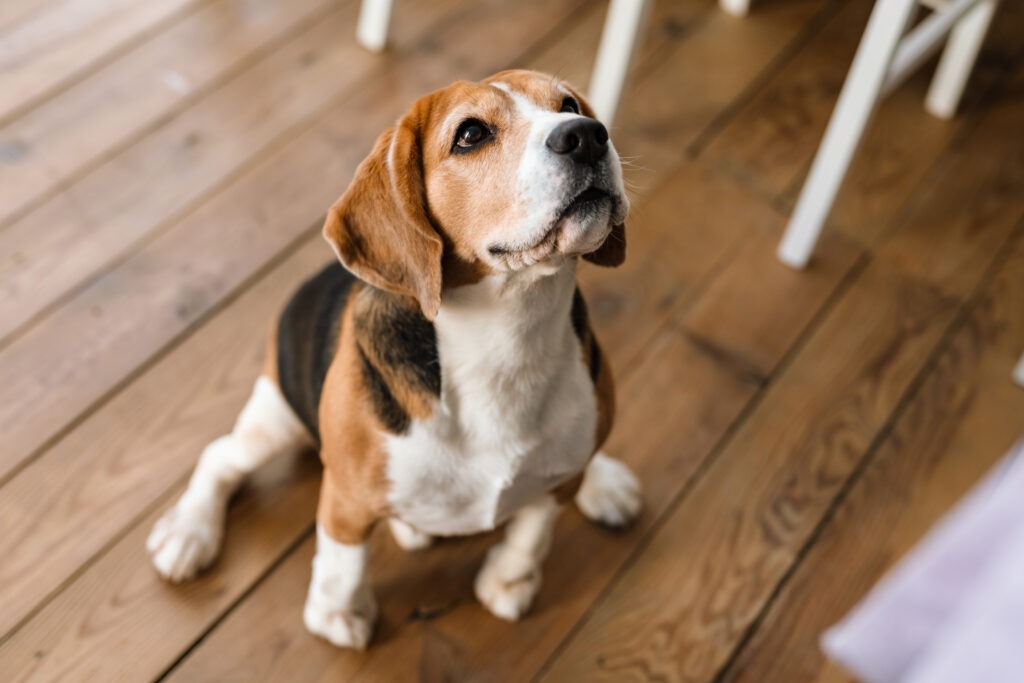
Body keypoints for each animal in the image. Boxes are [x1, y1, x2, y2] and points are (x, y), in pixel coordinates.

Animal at [146, 70, 638, 651]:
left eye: (568, 104)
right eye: (470, 134)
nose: (587, 135)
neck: (509, 338)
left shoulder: (557, 483)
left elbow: (532, 533)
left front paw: (508, 582)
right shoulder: (347, 498)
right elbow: (343, 563)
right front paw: (338, 615)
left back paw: (603, 481)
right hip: (276, 419)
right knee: (220, 456)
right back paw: (188, 533)